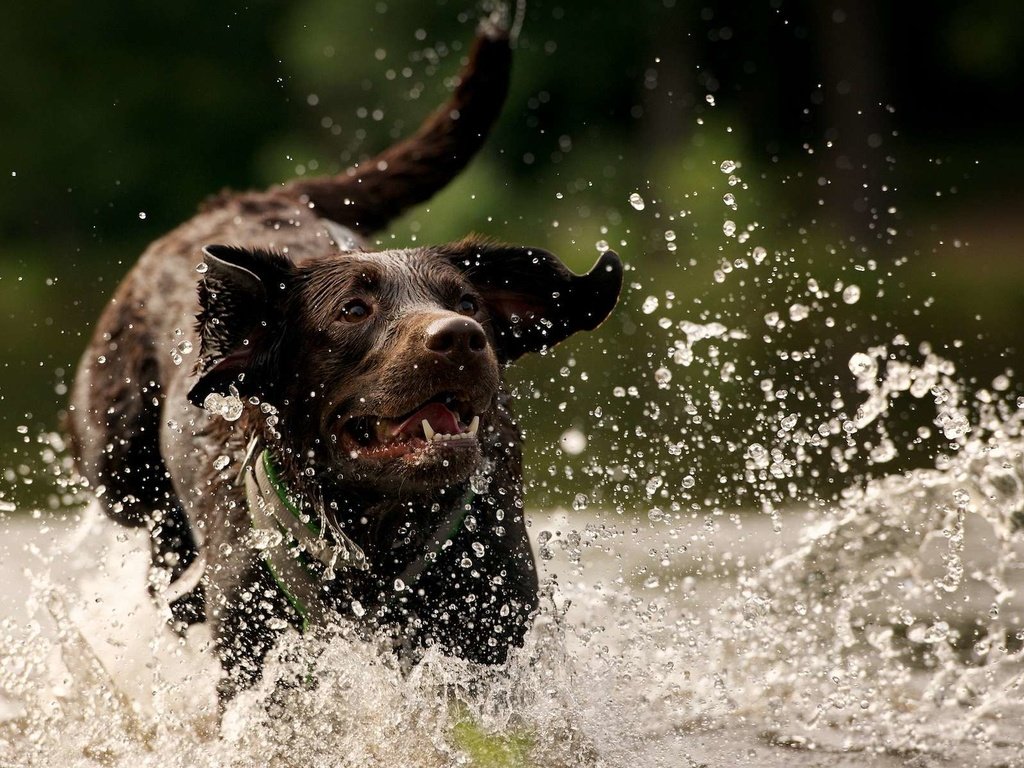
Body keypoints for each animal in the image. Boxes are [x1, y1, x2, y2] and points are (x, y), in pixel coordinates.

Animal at [68, 15, 622, 700]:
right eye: (353, 310)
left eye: (468, 301)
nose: (460, 336)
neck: (377, 538)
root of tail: (247, 197)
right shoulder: (253, 658)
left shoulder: (490, 631)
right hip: (116, 463)